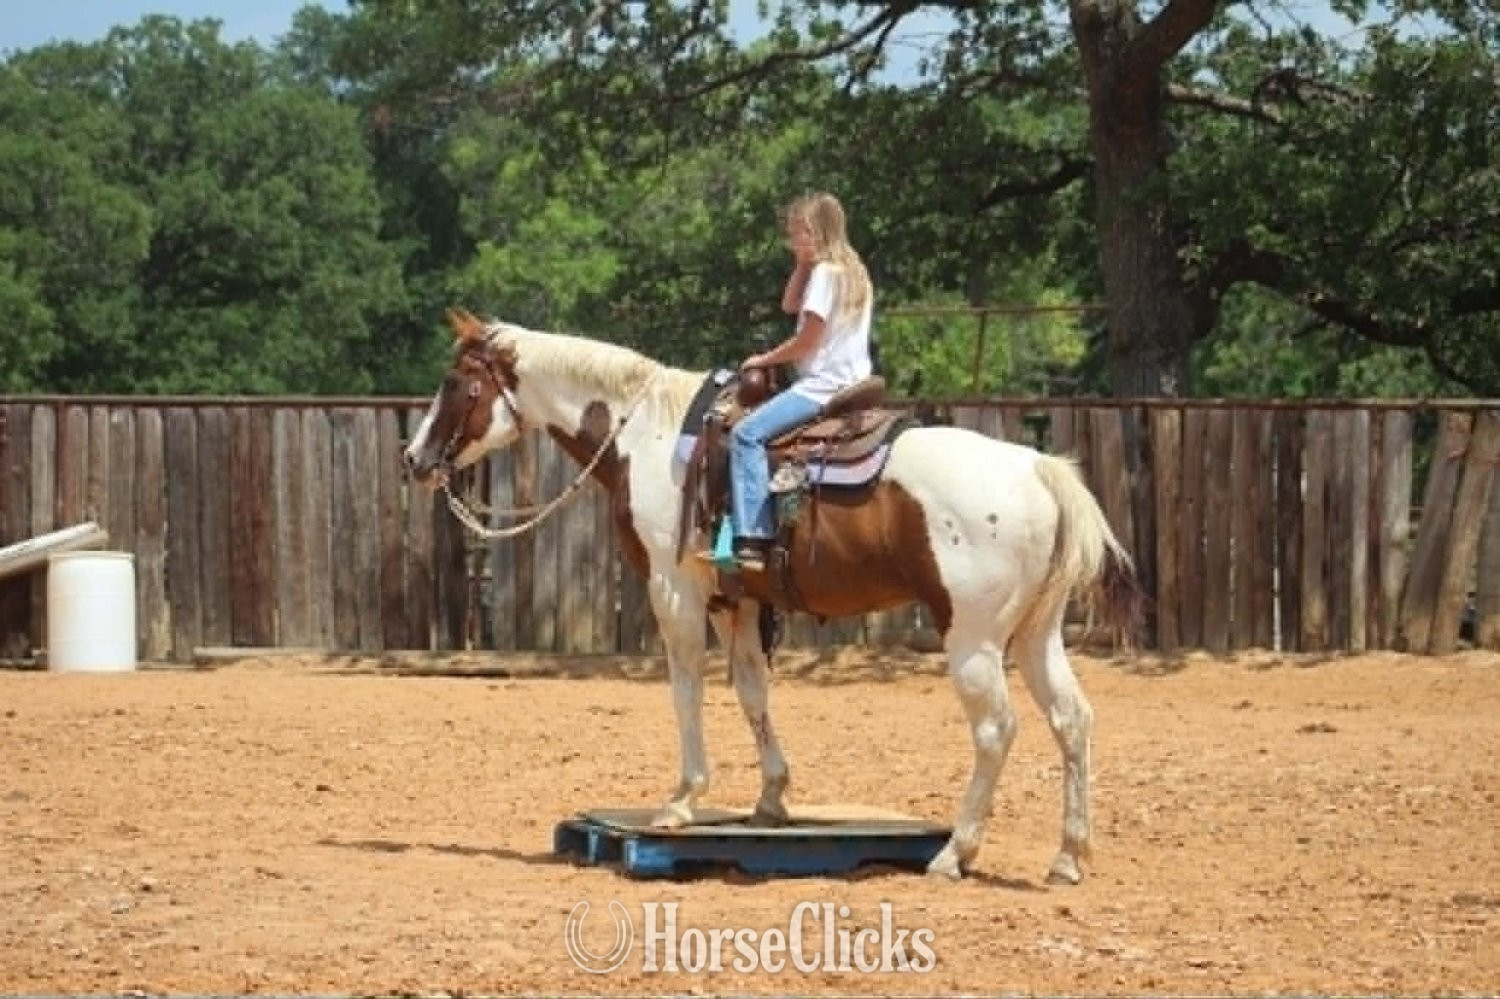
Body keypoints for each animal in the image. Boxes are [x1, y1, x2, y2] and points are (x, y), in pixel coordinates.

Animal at [402, 308, 1142, 884]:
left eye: (456, 384)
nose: (414, 459)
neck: (651, 434)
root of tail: (1038, 469)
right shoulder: (741, 600)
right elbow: (753, 691)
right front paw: (771, 799)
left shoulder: (674, 588)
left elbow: (686, 688)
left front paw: (682, 800)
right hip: (1034, 632)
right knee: (1072, 719)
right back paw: (1067, 857)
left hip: (974, 637)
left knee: (996, 729)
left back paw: (955, 854)